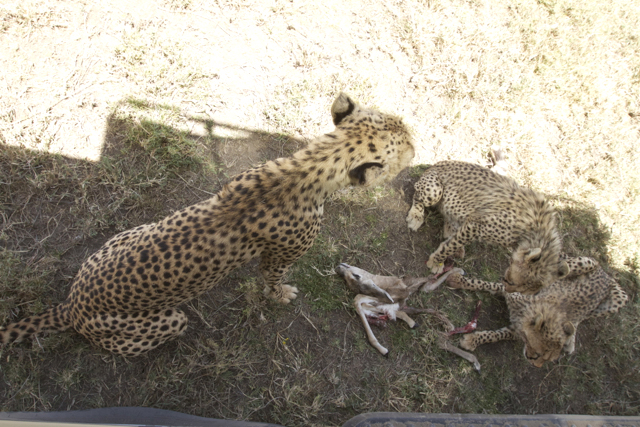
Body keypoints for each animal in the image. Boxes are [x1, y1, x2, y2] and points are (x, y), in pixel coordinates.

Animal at [0, 94, 416, 358]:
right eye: (406, 143)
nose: (418, 142)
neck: (312, 166)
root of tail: (72, 305)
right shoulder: (276, 258)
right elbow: (272, 280)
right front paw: (282, 294)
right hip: (167, 319)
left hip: (127, 234)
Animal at [408, 159, 568, 296]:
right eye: (512, 282)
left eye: (524, 292)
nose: (507, 291)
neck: (535, 232)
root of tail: (437, 163)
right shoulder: (476, 225)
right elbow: (451, 245)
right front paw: (436, 261)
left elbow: (452, 242)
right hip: (434, 190)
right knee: (417, 195)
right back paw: (416, 216)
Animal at [444, 256, 624, 370]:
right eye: (538, 355)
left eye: (547, 359)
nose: (536, 365)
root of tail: (607, 276)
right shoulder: (511, 290)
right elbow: (486, 284)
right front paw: (459, 280)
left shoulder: (517, 330)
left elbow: (497, 334)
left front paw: (473, 340)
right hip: (583, 263)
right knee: (562, 265)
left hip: (617, 301)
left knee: (580, 320)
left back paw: (570, 339)